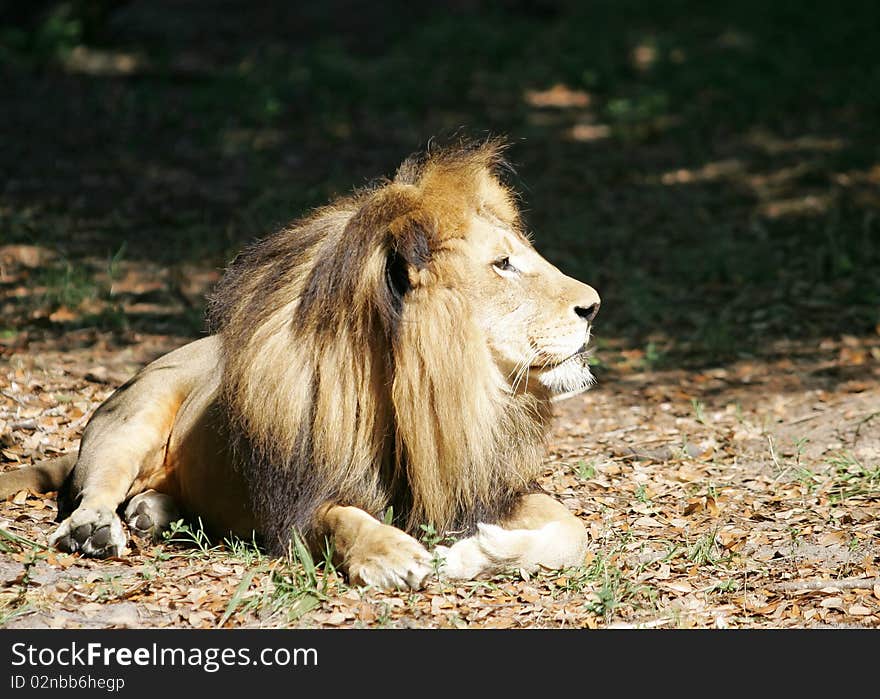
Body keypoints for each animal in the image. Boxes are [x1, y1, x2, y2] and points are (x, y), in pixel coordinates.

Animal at [0, 139, 600, 588]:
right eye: (502, 264)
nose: (594, 306)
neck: (423, 398)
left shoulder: (485, 489)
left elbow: (574, 531)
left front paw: (471, 552)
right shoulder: (296, 500)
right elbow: (344, 517)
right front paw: (392, 554)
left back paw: (154, 511)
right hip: (137, 412)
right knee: (96, 487)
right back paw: (96, 529)